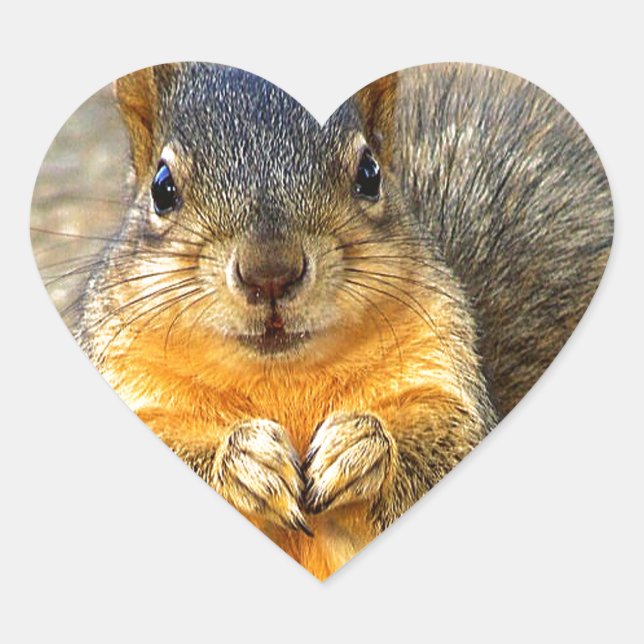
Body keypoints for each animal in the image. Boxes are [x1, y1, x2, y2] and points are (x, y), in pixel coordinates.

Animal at [75, 62, 612, 579]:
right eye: (162, 188)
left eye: (370, 174)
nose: (270, 272)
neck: (281, 377)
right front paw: (246, 460)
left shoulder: (442, 368)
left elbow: (451, 441)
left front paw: (360, 446)